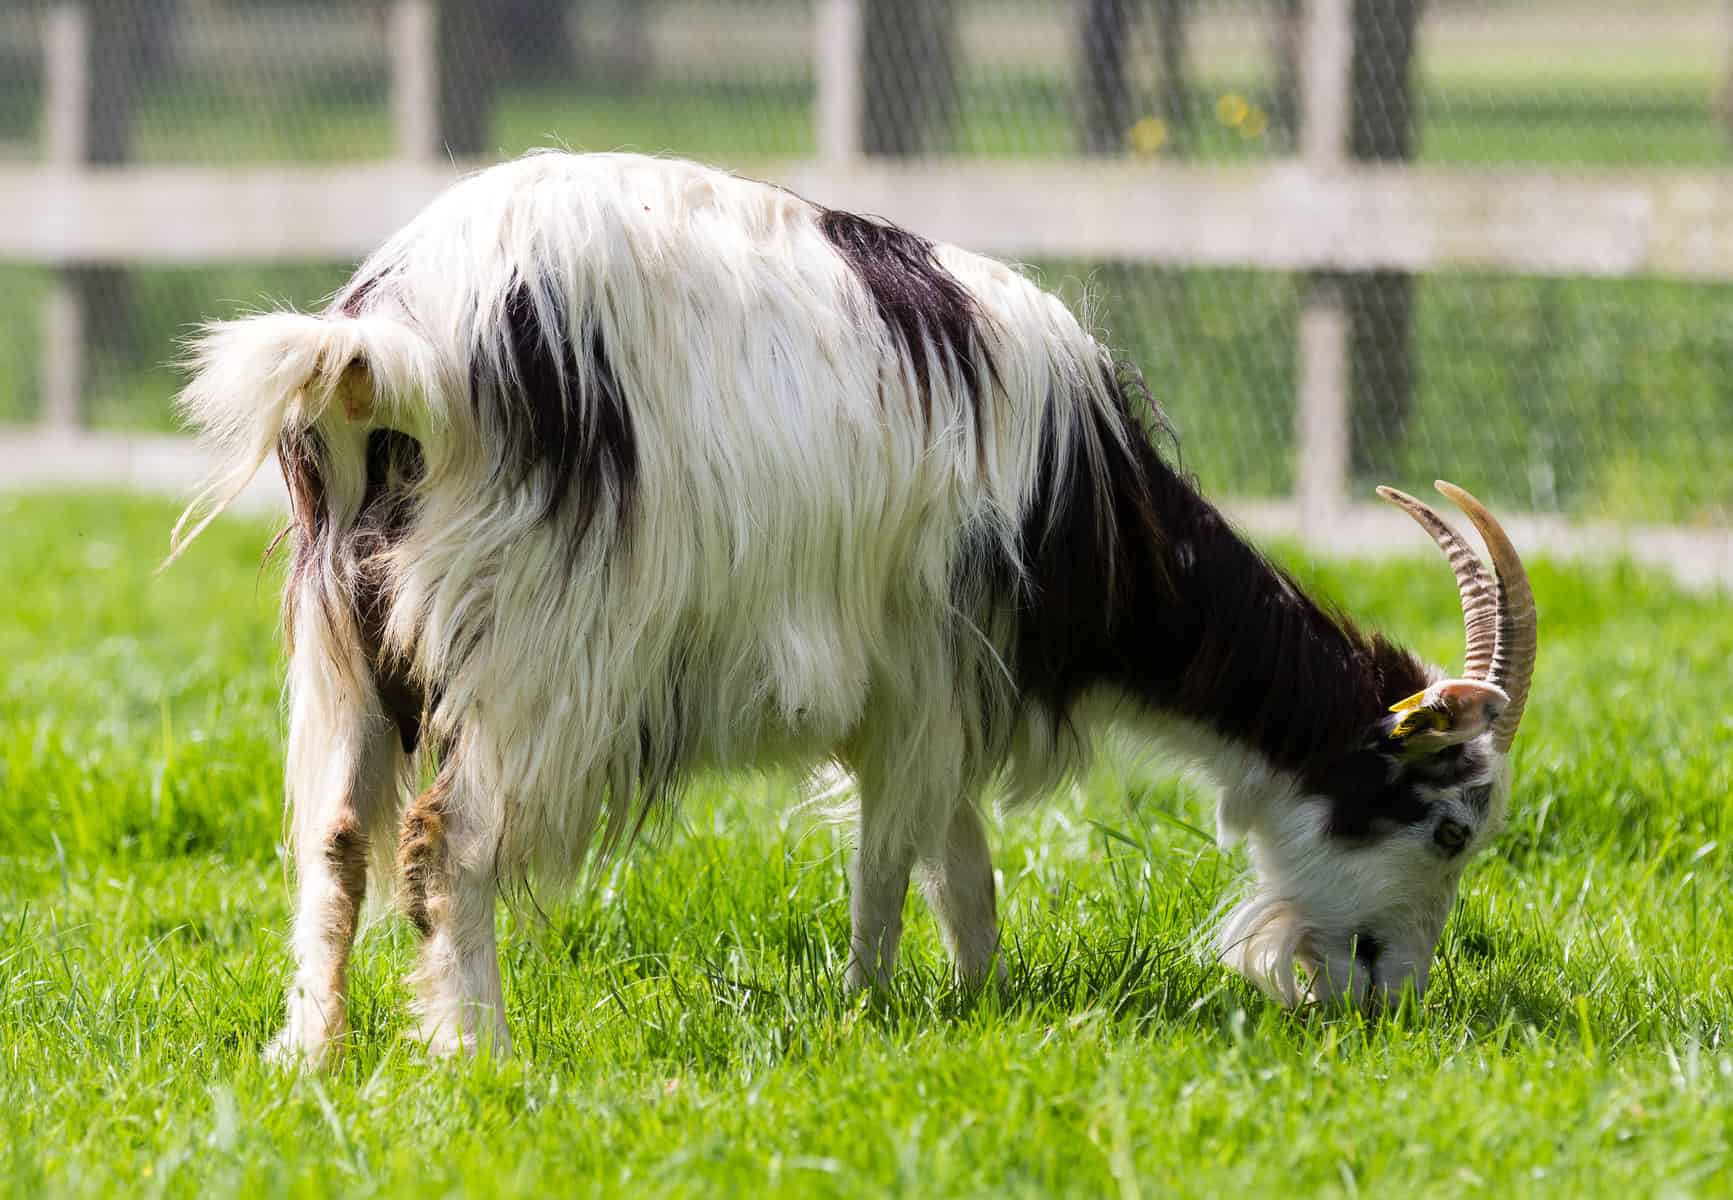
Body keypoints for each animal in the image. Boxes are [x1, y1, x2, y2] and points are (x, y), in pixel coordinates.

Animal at [168, 152, 1538, 1068]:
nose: (1386, 997)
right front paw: (870, 1014)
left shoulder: (929, 696)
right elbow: (897, 869)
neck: (1087, 504)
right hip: (541, 652)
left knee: (336, 837)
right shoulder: (921, 674)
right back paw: (477, 1054)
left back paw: (314, 1053)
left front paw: (977, 1004)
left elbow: (959, 868)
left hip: (345, 639)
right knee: (445, 842)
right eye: (1447, 828)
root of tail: (393, 343)